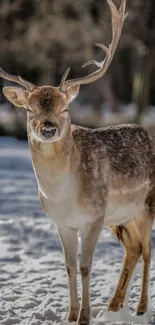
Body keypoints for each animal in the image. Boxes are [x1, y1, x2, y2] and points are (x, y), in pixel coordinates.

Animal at [0, 0, 154, 322]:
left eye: (65, 109)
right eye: (29, 110)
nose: (48, 128)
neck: (64, 195)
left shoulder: (94, 217)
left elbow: (85, 266)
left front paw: (85, 316)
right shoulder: (63, 223)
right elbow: (69, 266)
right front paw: (70, 315)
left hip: (147, 204)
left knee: (147, 249)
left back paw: (141, 307)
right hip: (121, 217)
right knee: (133, 249)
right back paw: (113, 306)